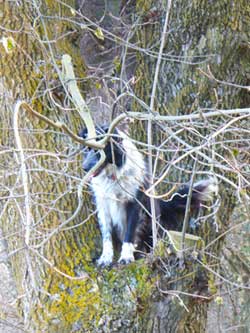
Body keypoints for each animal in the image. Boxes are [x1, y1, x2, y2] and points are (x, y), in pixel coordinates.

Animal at [81, 126, 218, 266]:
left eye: (99, 151)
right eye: (86, 149)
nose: (84, 168)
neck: (114, 176)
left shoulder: (134, 204)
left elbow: (129, 233)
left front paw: (126, 257)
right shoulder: (103, 205)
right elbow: (106, 235)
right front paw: (106, 258)